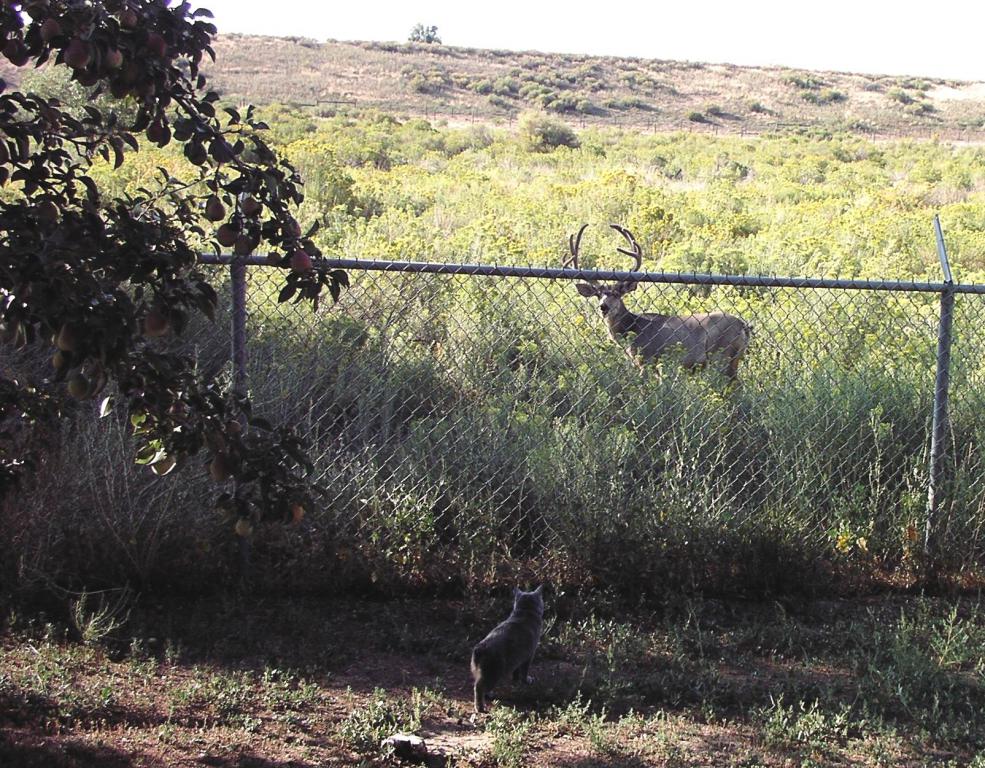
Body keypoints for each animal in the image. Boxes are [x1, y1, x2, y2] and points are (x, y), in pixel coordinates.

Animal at [560, 224, 752, 382]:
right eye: (598, 295)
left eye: (616, 293)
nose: (603, 307)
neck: (633, 329)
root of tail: (743, 325)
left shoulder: (646, 359)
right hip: (732, 359)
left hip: (722, 354)